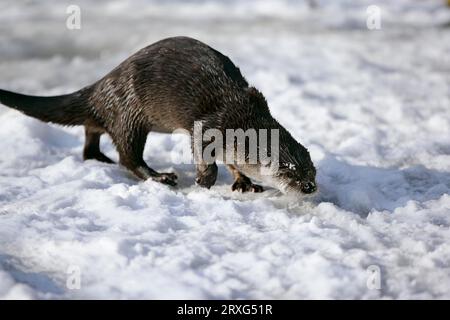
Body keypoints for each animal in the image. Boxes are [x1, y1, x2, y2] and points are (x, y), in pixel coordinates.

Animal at [0, 36, 316, 194]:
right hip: (129, 112)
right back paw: (160, 176)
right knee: (128, 155)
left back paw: (98, 158)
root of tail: (102, 85)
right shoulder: (209, 126)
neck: (242, 116)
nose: (310, 187)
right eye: (286, 169)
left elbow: (233, 162)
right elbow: (205, 156)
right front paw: (204, 183)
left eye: (311, 168)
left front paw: (244, 182)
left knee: (92, 130)